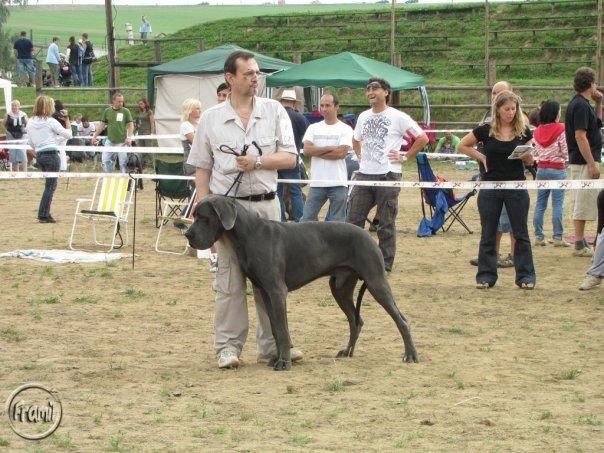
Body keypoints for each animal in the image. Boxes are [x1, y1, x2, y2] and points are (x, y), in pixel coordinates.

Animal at [185, 195, 418, 370]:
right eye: (194, 216)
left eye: (203, 217)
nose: (187, 234)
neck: (249, 234)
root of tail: (369, 236)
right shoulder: (264, 291)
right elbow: (275, 328)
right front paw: (277, 358)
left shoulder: (277, 291)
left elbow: (282, 328)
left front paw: (284, 362)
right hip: (340, 288)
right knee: (356, 320)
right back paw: (347, 351)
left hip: (376, 282)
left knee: (401, 319)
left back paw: (410, 355)